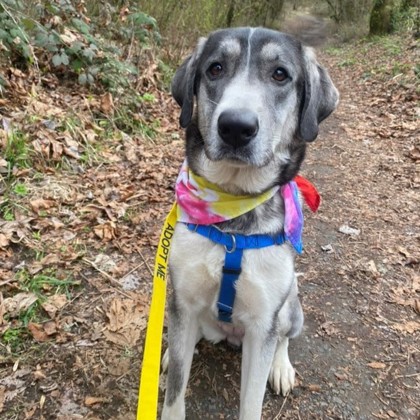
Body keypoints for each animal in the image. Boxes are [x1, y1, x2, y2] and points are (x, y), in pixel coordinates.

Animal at [161, 27, 338, 420]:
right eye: (215, 68)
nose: (236, 127)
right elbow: (175, 390)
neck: (233, 221)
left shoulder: (262, 325)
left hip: (290, 306)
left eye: (280, 75)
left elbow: (252, 399)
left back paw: (281, 367)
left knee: (284, 337)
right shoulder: (183, 300)